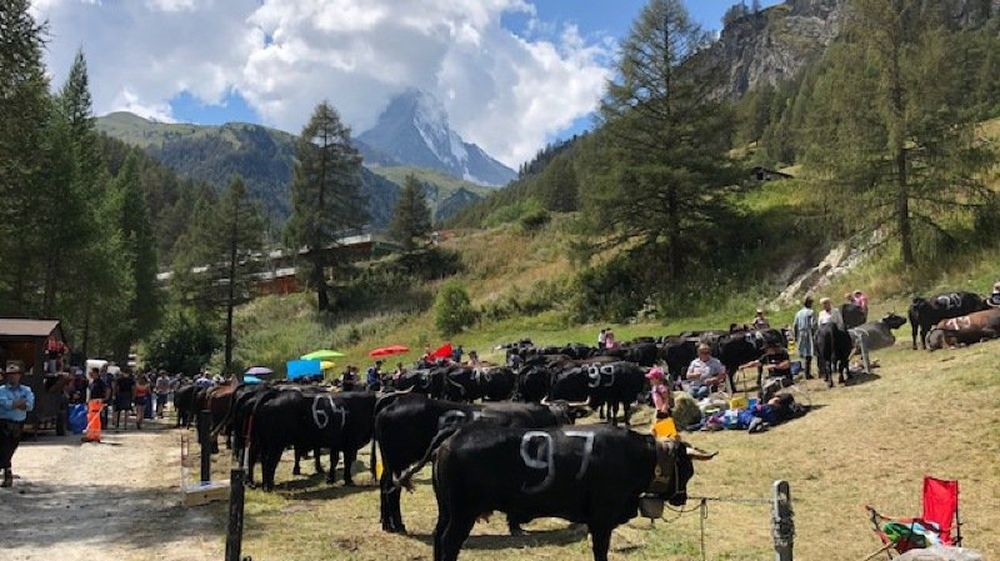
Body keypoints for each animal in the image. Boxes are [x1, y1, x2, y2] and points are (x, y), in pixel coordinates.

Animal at [374, 392, 580, 532]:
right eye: (569, 415)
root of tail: (396, 400)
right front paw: (515, 524)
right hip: (398, 462)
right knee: (392, 489)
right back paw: (398, 524)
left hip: (391, 462)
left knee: (385, 485)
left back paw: (387, 523)